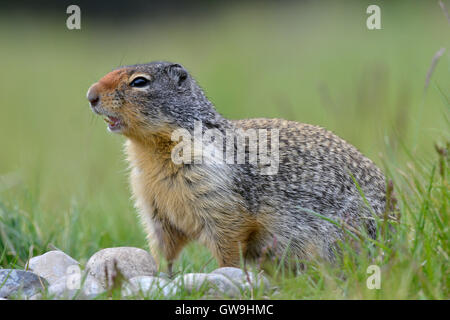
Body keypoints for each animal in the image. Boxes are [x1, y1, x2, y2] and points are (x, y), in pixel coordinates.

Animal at [86, 61, 392, 274]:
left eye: (139, 82)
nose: (90, 95)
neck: (152, 151)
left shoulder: (219, 195)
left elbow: (229, 241)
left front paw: (226, 274)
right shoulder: (152, 204)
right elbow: (164, 246)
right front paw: (161, 275)